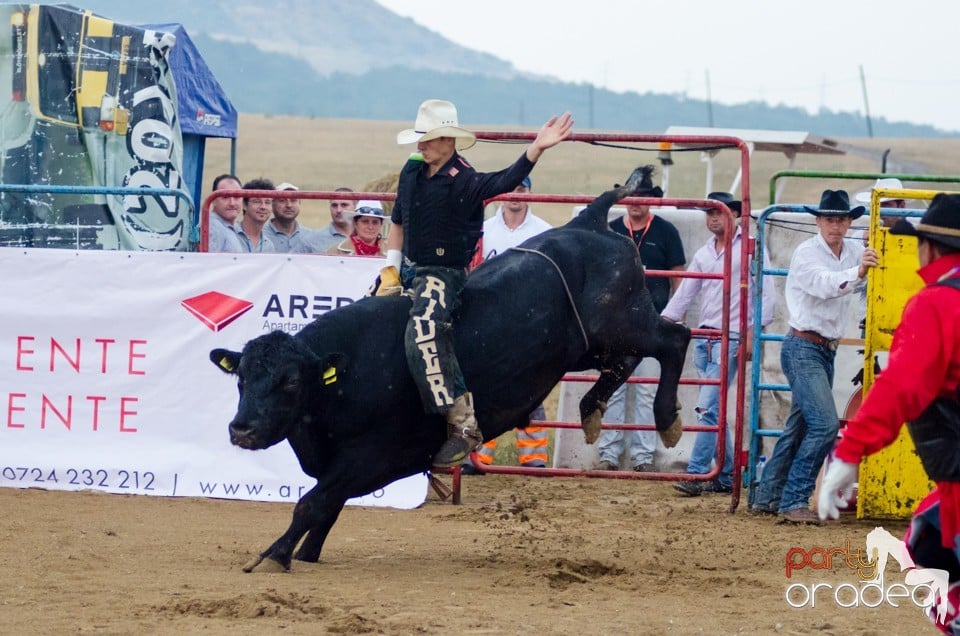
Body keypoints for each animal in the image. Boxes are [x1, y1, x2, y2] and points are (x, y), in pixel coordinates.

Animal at [210, 178, 688, 572]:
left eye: (290, 382)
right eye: (241, 379)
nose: (241, 429)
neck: (348, 372)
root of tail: (591, 220)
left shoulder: (368, 457)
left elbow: (314, 503)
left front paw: (276, 554)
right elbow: (327, 506)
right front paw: (306, 553)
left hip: (625, 324)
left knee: (675, 340)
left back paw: (666, 419)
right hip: (598, 344)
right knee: (626, 364)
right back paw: (590, 409)